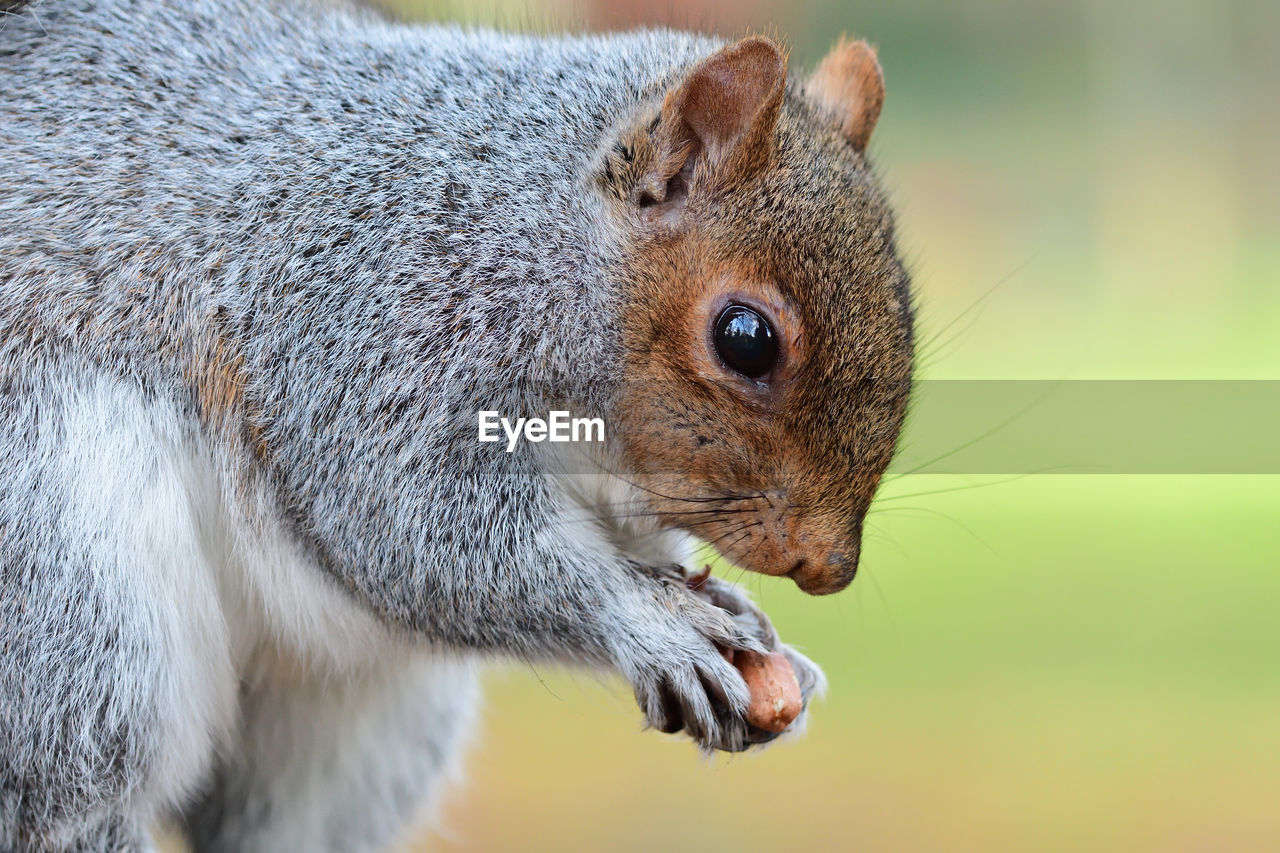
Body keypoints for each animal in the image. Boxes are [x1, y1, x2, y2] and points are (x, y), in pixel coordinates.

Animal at [5, 0, 916, 845]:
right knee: (74, 789)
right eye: (746, 339)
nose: (828, 566)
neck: (522, 222)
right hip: (67, 588)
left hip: (360, 716)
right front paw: (648, 622)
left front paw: (745, 623)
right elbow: (422, 532)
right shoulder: (368, 325)